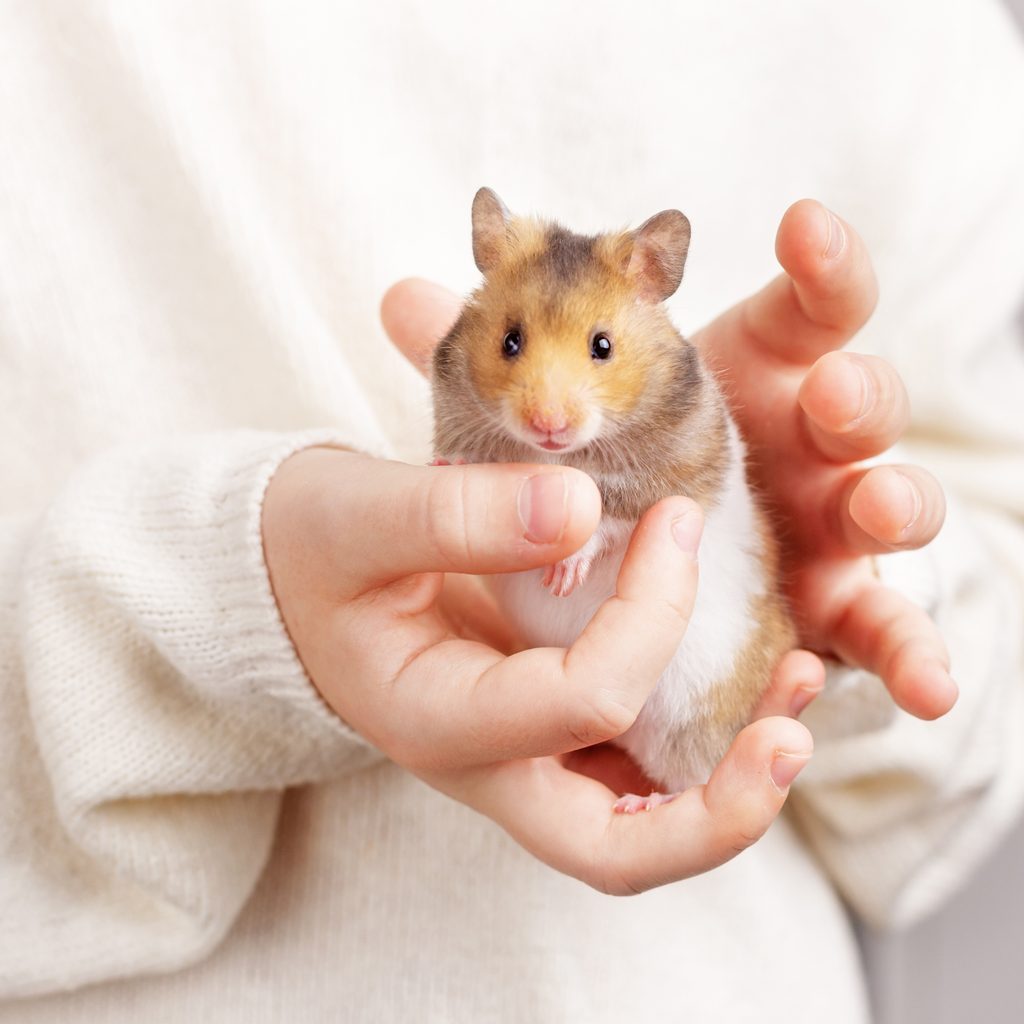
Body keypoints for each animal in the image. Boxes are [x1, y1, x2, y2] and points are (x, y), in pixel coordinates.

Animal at [431, 187, 796, 800]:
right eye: (510, 340)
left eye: (602, 346)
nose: (548, 425)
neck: (558, 455)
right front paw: (440, 465)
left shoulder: (671, 478)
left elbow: (612, 518)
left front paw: (561, 577)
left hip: (695, 714)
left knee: (699, 776)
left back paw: (641, 805)